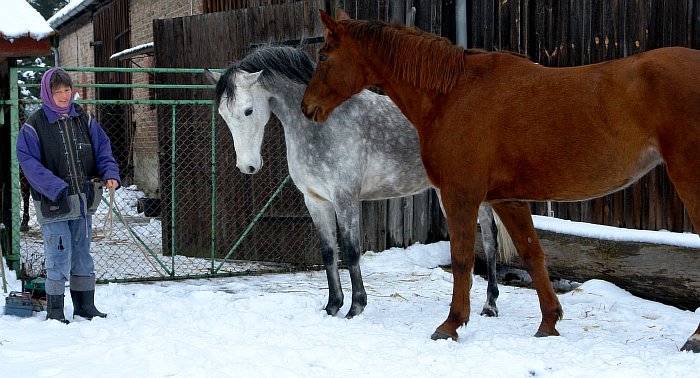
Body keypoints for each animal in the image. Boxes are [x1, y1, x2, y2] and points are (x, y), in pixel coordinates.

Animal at [204, 46, 516, 318]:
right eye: (222, 114)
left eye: (248, 110)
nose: (247, 166)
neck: (322, 125)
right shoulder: (316, 201)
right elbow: (329, 253)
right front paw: (332, 306)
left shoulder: (345, 199)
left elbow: (352, 252)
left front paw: (355, 308)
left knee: (489, 241)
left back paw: (490, 305)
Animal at [300, 9, 700, 352]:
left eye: (323, 56)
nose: (307, 107)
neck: (454, 93)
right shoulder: (507, 199)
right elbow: (532, 254)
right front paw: (548, 323)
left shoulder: (460, 195)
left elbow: (462, 259)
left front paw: (450, 325)